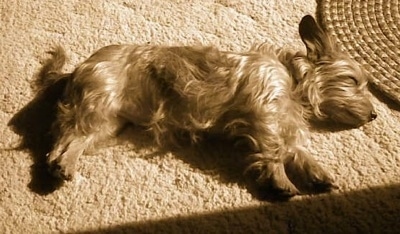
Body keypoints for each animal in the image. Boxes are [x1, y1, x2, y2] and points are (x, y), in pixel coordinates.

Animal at [36, 15, 376, 197]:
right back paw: (60, 166)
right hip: (98, 105)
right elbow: (274, 151)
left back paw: (64, 167)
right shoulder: (264, 118)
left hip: (109, 124)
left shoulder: (284, 123)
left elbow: (298, 150)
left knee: (71, 144)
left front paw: (317, 173)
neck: (291, 78)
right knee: (61, 140)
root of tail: (77, 68)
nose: (374, 114)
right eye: (352, 80)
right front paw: (280, 180)